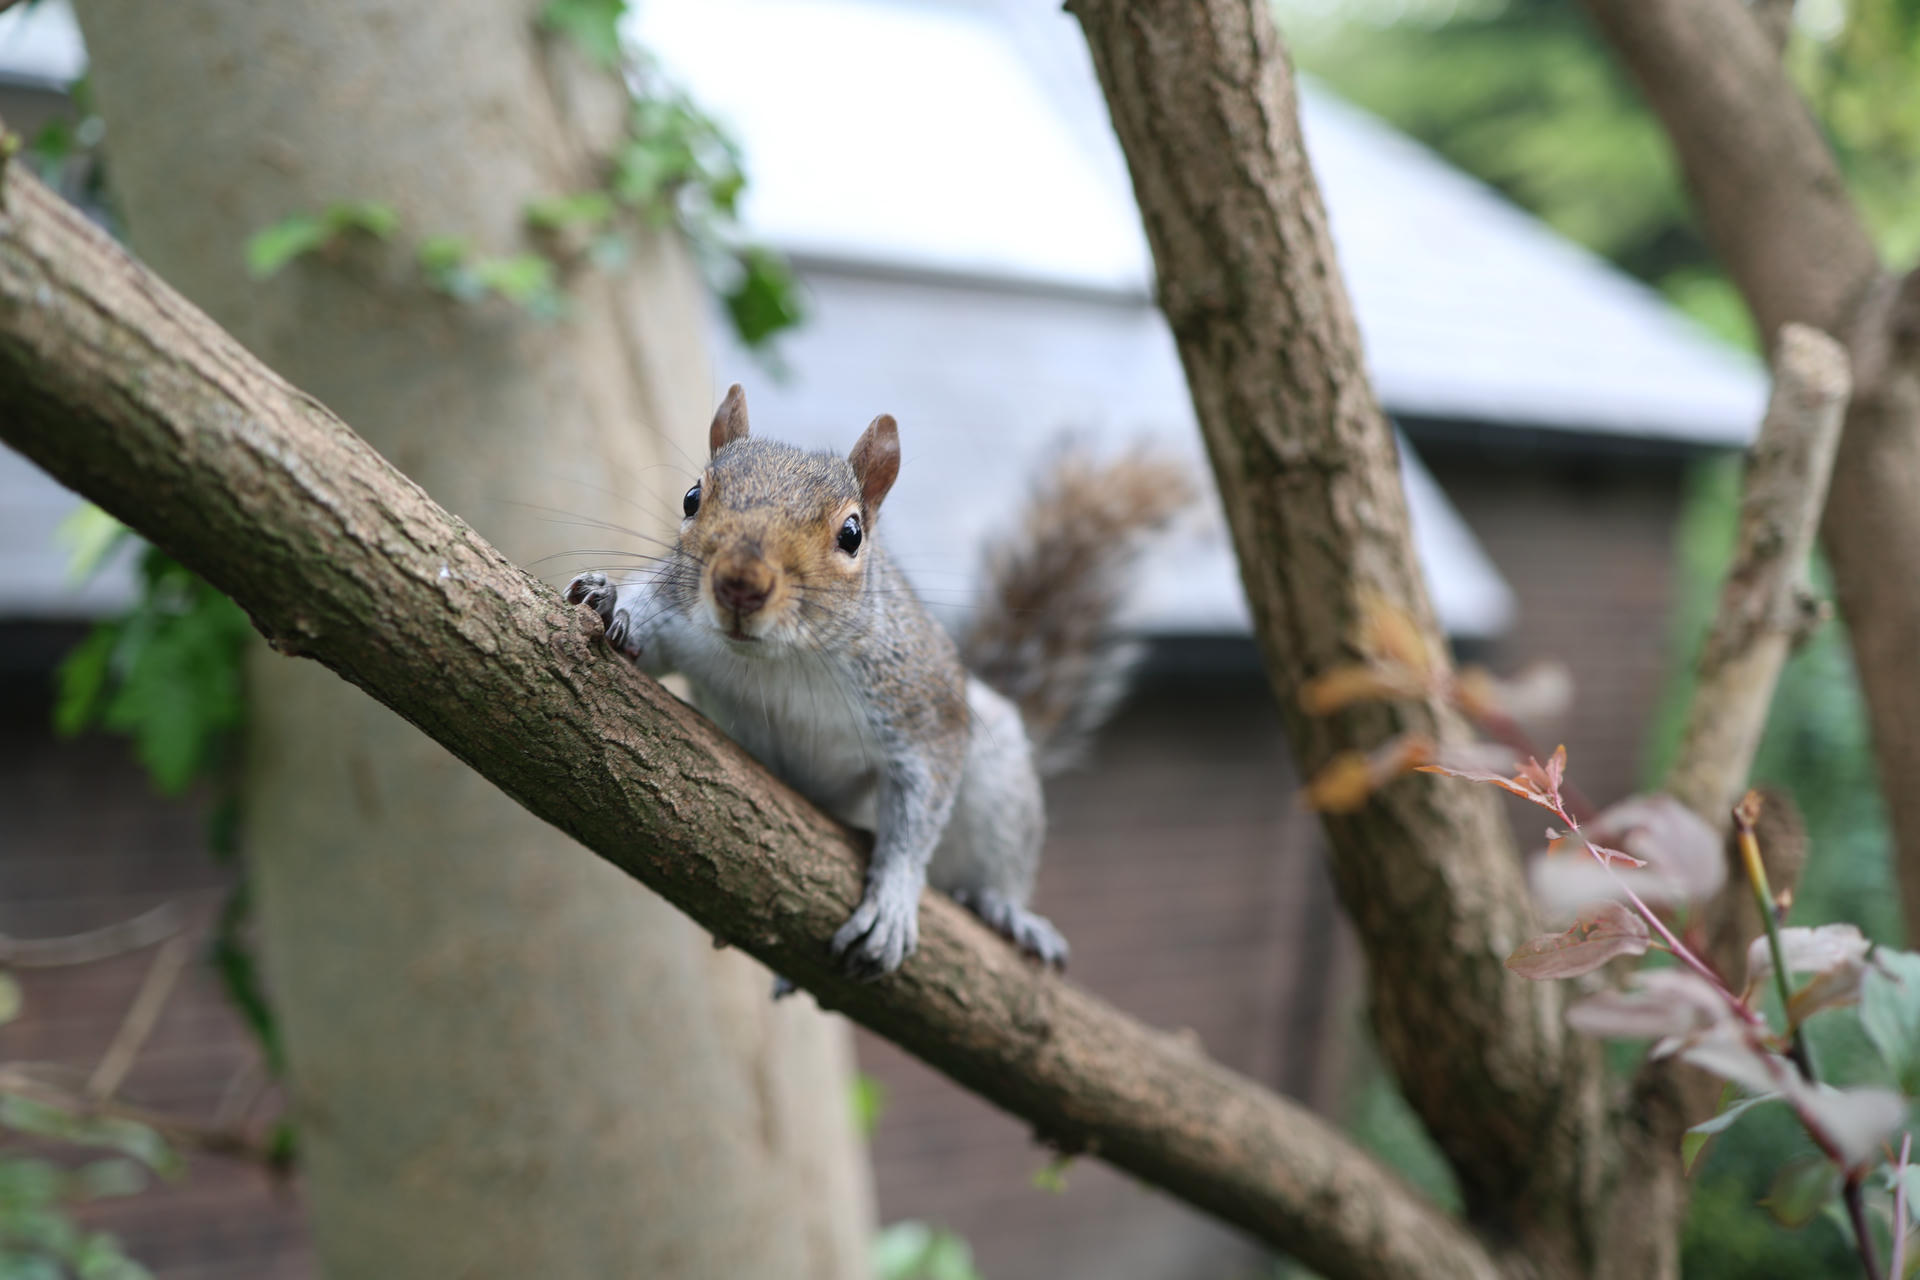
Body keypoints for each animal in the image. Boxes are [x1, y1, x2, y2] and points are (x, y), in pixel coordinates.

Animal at [566, 385, 1192, 980]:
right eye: (693, 498)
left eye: (852, 533)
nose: (741, 582)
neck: (779, 657)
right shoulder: (681, 616)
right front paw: (612, 601)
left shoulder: (923, 705)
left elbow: (919, 807)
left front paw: (892, 901)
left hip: (997, 779)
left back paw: (1006, 910)